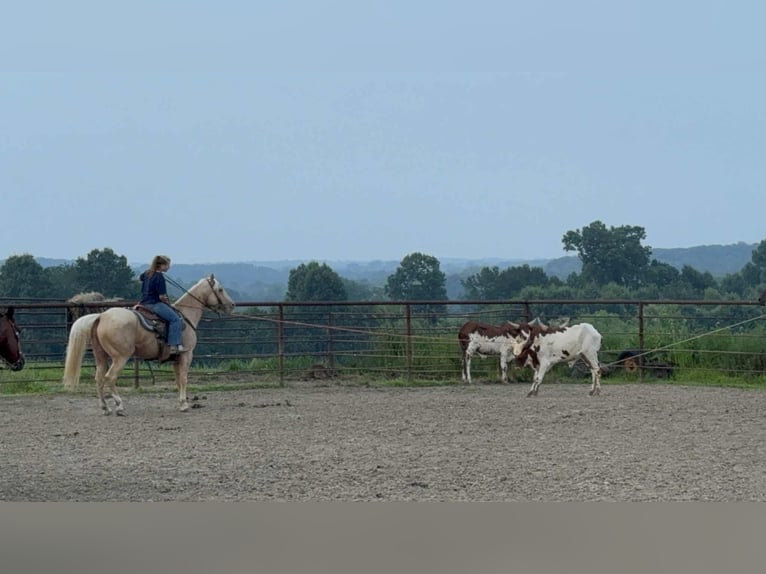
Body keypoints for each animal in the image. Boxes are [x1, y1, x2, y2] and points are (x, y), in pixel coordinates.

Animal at [62, 275, 235, 415]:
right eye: (220, 289)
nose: (231, 305)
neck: (185, 316)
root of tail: (101, 316)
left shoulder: (176, 359)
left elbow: (178, 380)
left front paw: (181, 403)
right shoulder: (186, 355)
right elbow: (184, 379)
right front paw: (184, 405)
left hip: (101, 356)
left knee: (99, 379)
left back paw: (105, 408)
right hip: (120, 357)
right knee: (110, 377)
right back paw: (119, 406)